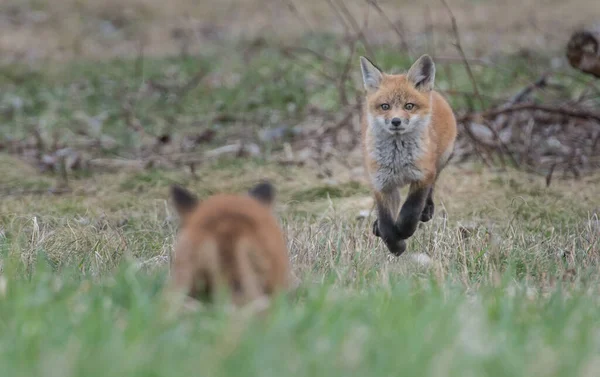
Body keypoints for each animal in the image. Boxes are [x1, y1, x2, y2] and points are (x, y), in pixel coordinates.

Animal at [358, 54, 458, 254]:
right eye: (385, 106)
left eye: (409, 106)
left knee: (432, 188)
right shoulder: (381, 184)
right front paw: (395, 244)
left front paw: (403, 231)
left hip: (440, 161)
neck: (397, 160)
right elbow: (386, 222)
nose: (396, 121)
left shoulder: (423, 176)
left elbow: (410, 210)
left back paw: (426, 211)